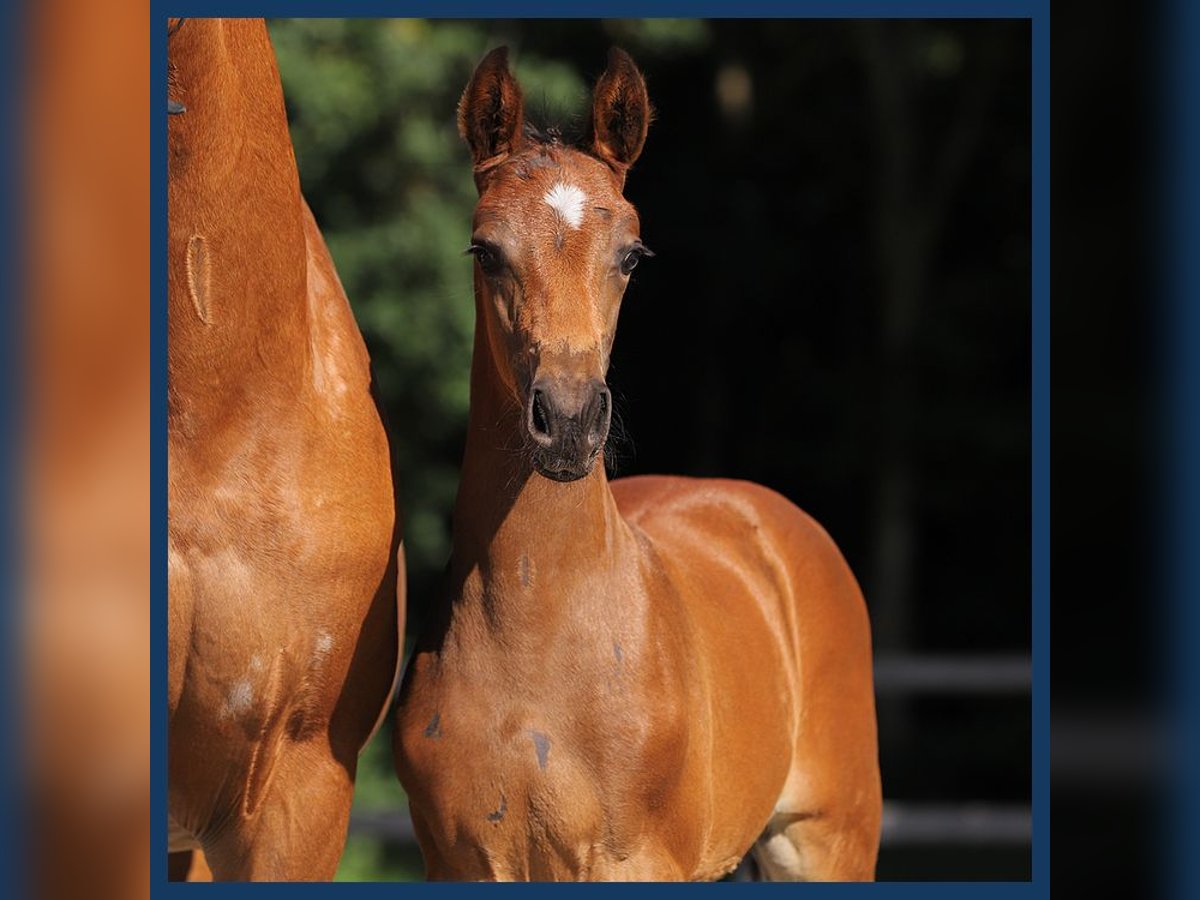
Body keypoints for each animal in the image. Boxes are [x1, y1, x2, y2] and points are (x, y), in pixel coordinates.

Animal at [393, 47, 883, 883]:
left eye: (631, 254)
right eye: (485, 250)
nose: (568, 423)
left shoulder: (634, 860)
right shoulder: (462, 862)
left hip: (829, 840)